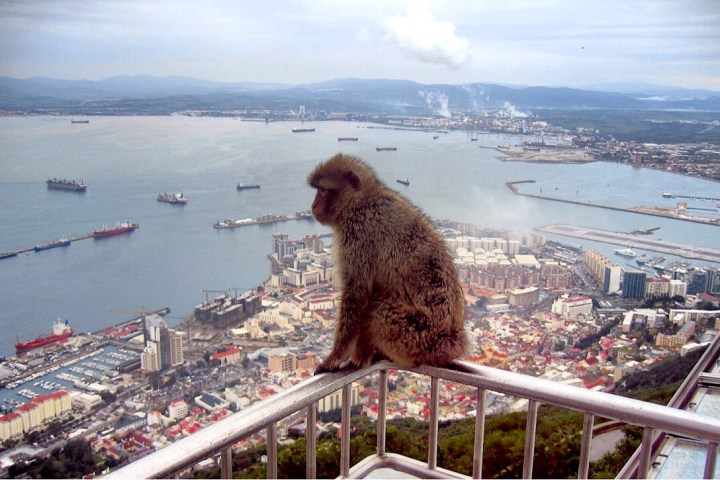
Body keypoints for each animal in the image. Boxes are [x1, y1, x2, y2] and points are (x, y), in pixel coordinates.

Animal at [308, 153, 469, 373]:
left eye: (323, 190)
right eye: (317, 191)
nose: (313, 206)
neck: (362, 201)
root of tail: (451, 341)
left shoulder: (357, 233)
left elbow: (356, 293)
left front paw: (334, 358)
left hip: (415, 338)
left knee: (378, 308)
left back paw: (365, 355)